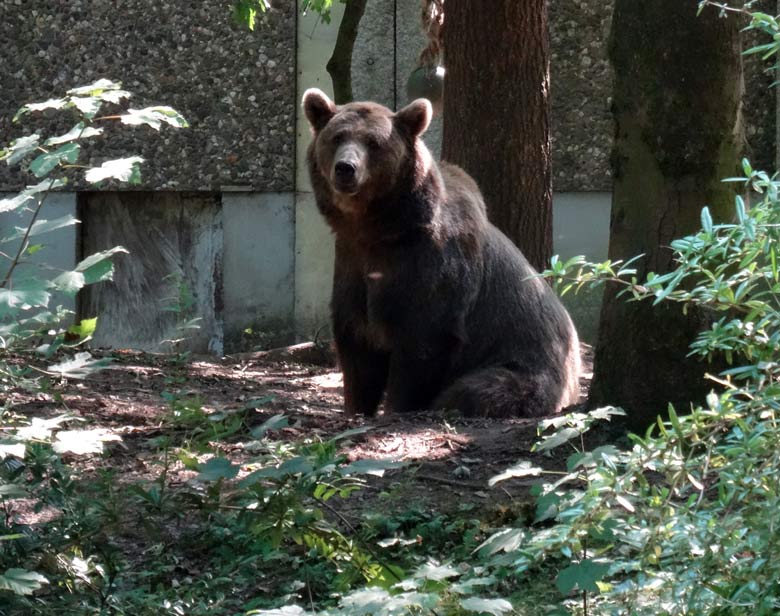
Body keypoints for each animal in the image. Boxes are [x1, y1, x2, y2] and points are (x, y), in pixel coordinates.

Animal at [302, 89, 580, 416]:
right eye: (337, 136)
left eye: (373, 142)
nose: (346, 168)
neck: (378, 229)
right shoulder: (351, 264)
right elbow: (358, 350)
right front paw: (356, 407)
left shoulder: (431, 267)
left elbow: (423, 344)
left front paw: (396, 406)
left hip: (526, 366)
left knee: (478, 389)